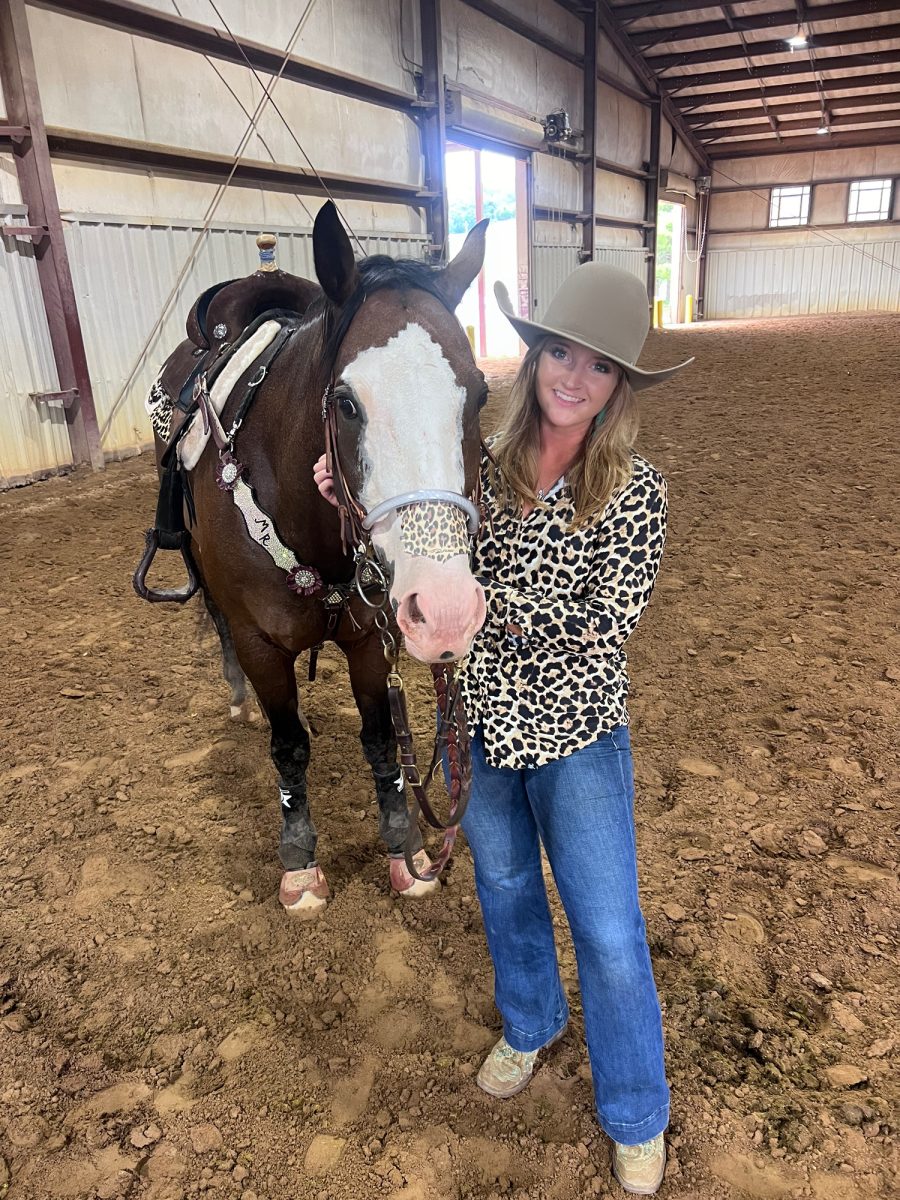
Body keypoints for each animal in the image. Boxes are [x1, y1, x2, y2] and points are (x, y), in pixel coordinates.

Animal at [140, 206, 489, 912]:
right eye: (346, 402)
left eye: (480, 395)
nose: (444, 611)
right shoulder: (261, 643)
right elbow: (288, 747)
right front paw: (299, 863)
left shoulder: (368, 637)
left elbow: (382, 742)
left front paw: (404, 849)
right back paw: (237, 698)